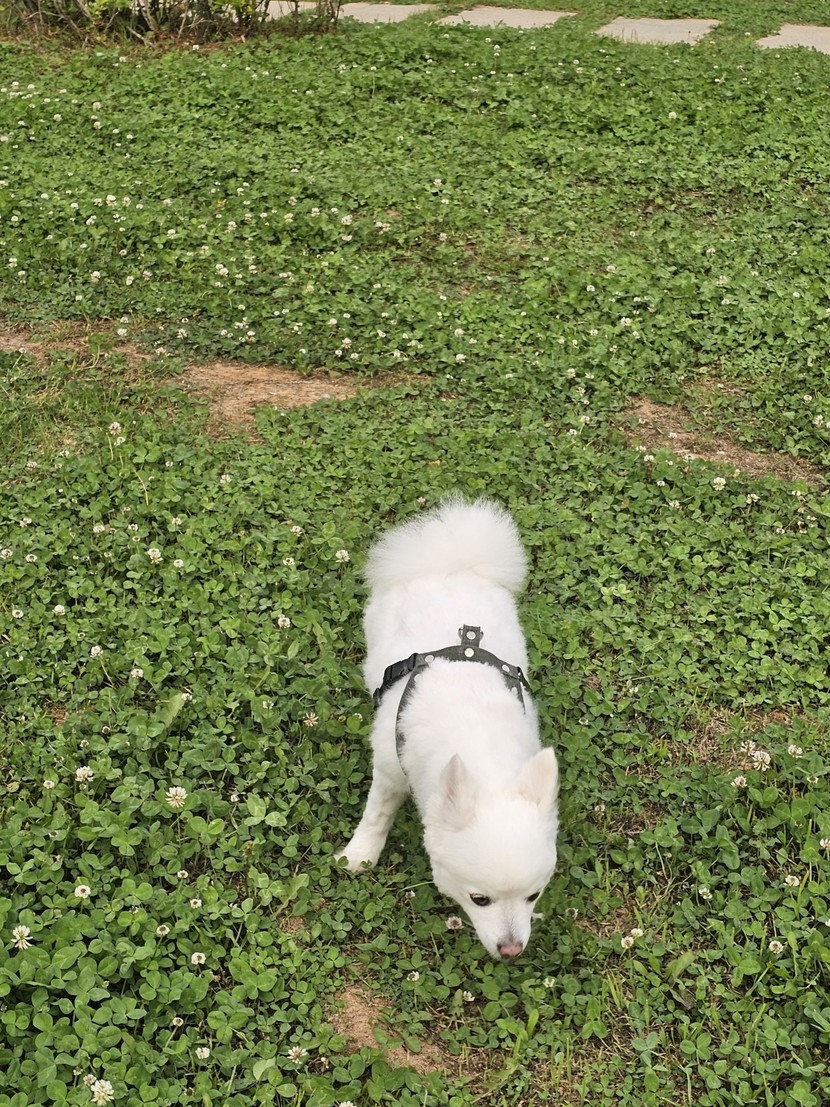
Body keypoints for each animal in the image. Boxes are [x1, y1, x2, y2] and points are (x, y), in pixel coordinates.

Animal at [338, 497, 559, 959]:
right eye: (480, 899)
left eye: (533, 897)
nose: (512, 950)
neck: (478, 738)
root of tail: (451, 562)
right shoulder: (390, 766)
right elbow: (376, 813)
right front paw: (360, 854)